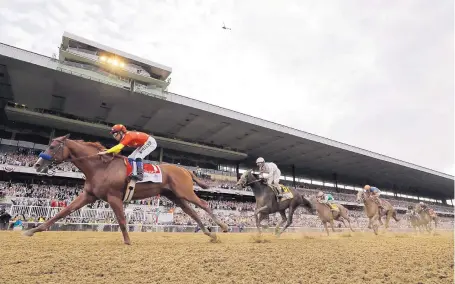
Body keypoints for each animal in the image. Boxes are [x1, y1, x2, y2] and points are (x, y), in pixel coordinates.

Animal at [22, 135, 228, 244]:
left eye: (52, 146)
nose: (37, 164)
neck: (100, 166)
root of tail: (185, 169)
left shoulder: (113, 197)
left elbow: (121, 219)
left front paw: (128, 241)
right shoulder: (89, 195)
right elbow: (63, 212)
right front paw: (34, 230)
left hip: (185, 192)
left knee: (204, 204)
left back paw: (223, 226)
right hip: (175, 196)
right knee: (191, 212)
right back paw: (210, 233)